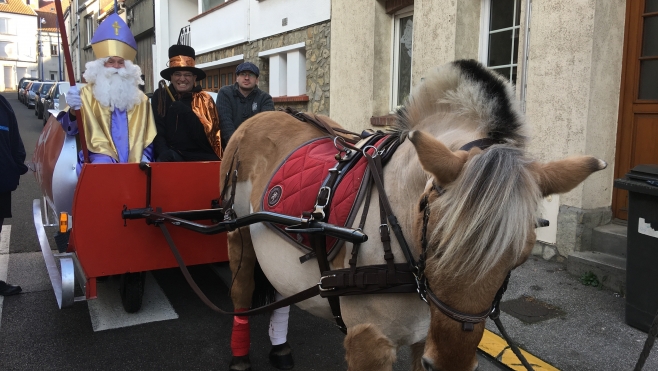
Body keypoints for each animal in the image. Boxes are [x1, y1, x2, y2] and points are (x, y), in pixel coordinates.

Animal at [220, 59, 604, 370]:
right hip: (237, 233)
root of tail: (267, 114)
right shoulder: (368, 342)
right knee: (240, 292)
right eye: (435, 244)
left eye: (520, 258)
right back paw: (239, 354)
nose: (451, 366)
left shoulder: (424, 336)